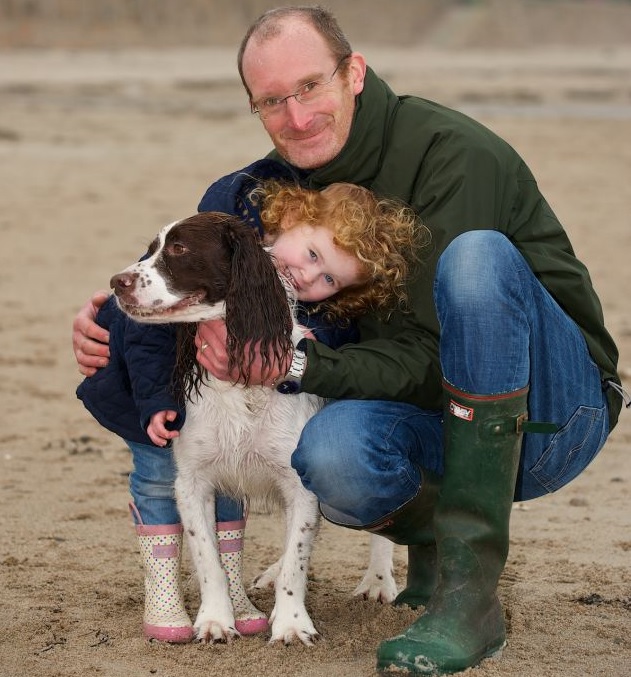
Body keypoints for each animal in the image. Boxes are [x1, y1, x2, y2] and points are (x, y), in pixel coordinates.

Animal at [108, 211, 396, 644]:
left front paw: (292, 624)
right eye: (152, 248)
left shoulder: (299, 483)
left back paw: (378, 580)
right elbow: (209, 560)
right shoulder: (192, 483)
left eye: (179, 248)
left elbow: (297, 559)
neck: (239, 380)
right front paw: (215, 620)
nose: (116, 282)